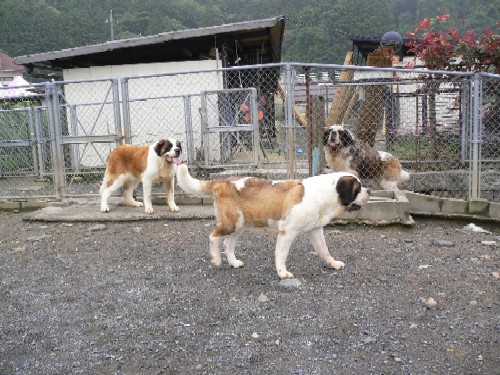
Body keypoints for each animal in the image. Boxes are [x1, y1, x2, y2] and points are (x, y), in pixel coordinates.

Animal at [175, 164, 368, 280]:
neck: (324, 194)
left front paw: (332, 264)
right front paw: (282, 273)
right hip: (231, 223)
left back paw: (234, 263)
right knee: (213, 237)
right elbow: (282, 255)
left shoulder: (315, 230)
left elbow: (324, 250)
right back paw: (215, 259)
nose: (369, 191)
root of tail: (224, 181)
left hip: (239, 226)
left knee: (228, 244)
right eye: (358, 188)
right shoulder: (287, 232)